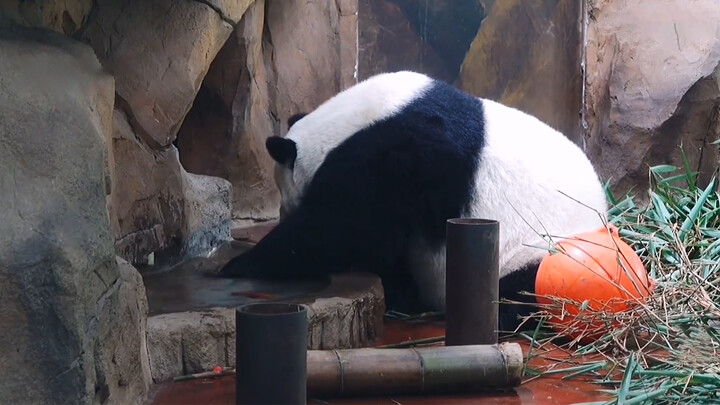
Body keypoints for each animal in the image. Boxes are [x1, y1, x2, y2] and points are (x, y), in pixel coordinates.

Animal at [218, 71, 608, 332]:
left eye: (284, 190)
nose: (282, 213)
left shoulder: (395, 160)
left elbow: (343, 228)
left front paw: (238, 265)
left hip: (536, 251)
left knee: (524, 289)